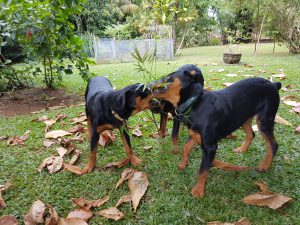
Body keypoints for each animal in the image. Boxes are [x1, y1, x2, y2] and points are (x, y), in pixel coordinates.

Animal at [152, 71, 282, 197]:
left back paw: (264, 166)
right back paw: (242, 149)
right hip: (242, 118)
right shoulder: (195, 135)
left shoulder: (210, 147)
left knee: (273, 145)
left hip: (264, 121)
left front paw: (198, 191)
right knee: (251, 134)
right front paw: (183, 164)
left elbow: (203, 170)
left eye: (167, 78)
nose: (149, 85)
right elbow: (186, 147)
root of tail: (273, 84)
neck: (194, 103)